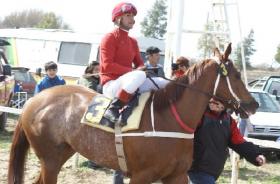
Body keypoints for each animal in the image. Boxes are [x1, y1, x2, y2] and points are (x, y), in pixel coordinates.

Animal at [8, 43, 258, 183]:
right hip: (49, 159)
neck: (170, 119)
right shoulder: (141, 176)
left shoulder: (176, 175)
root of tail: (35, 100)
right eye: (236, 75)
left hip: (61, 154)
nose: (253, 104)